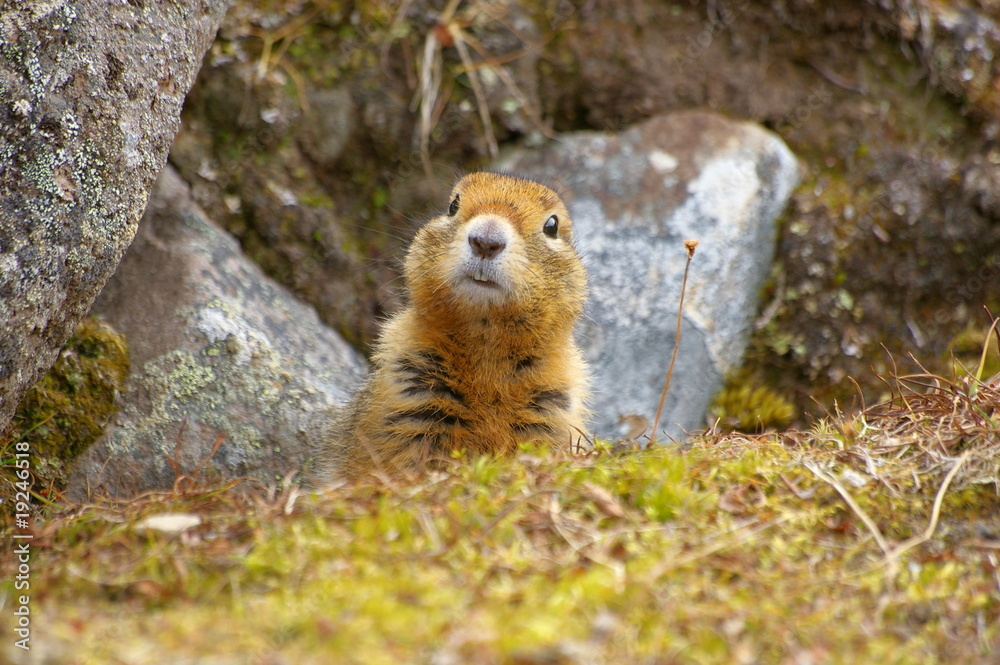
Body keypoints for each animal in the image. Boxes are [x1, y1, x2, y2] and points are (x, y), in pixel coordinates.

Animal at [326, 171, 590, 479]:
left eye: (552, 225)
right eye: (453, 205)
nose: (486, 240)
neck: (486, 340)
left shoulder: (553, 408)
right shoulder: (408, 398)